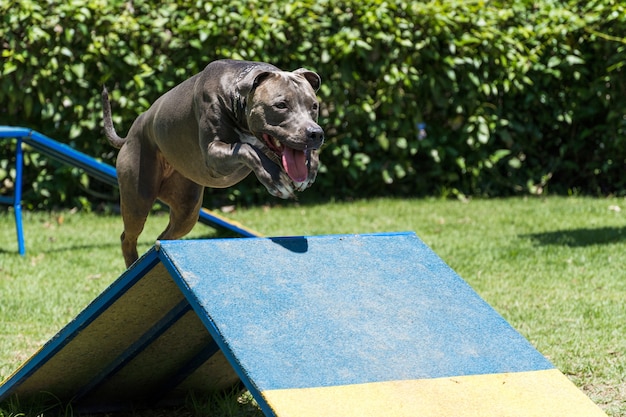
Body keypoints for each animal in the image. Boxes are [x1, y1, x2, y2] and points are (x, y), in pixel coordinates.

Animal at [101, 59, 322, 266]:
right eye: (281, 105)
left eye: (314, 106)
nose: (316, 133)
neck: (237, 94)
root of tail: (129, 135)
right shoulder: (213, 154)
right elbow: (247, 149)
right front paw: (275, 179)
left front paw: (310, 168)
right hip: (138, 199)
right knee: (128, 237)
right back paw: (132, 263)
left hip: (187, 210)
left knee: (164, 237)